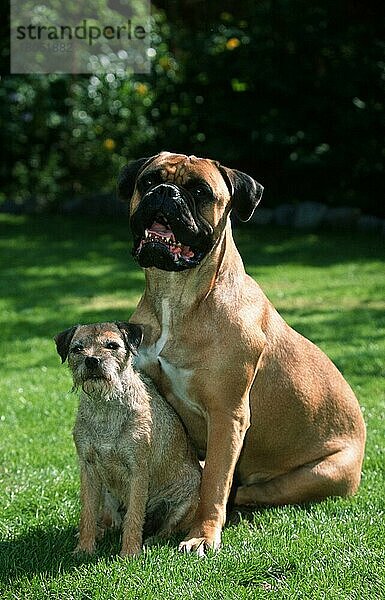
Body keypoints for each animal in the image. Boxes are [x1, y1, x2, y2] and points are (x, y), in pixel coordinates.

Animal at [54, 322, 201, 556]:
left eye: (112, 345)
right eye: (77, 349)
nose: (92, 360)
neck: (105, 407)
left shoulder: (138, 471)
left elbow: (134, 517)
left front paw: (130, 553)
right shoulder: (88, 469)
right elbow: (87, 513)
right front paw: (84, 549)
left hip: (186, 498)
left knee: (168, 528)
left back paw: (152, 539)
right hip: (107, 495)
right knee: (109, 519)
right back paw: (102, 531)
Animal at [118, 152, 366, 556]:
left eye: (200, 192)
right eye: (149, 180)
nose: (166, 193)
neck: (178, 298)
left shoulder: (227, 415)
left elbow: (213, 486)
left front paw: (202, 535)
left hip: (315, 474)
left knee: (250, 492)